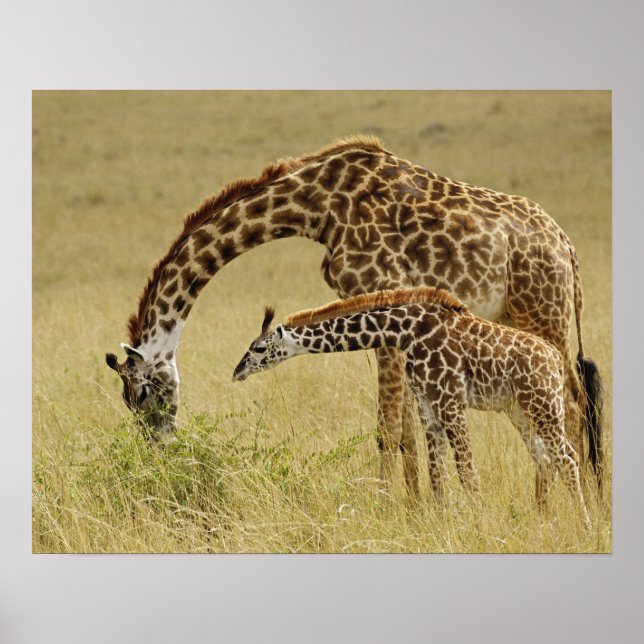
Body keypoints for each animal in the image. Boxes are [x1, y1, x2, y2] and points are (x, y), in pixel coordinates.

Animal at [105, 135, 603, 495]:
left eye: (144, 394)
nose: (159, 453)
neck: (315, 208)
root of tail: (567, 247)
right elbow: (406, 432)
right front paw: (418, 510)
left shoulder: (382, 296)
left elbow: (388, 429)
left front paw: (393, 510)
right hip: (521, 318)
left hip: (545, 313)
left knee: (574, 403)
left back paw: (578, 508)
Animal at [231, 287, 592, 531]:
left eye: (259, 348)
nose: (237, 372)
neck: (407, 332)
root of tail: (555, 360)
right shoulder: (427, 405)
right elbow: (437, 473)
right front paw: (446, 526)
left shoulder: (450, 400)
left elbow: (467, 471)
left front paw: (480, 527)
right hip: (519, 409)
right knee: (546, 459)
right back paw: (545, 521)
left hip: (543, 404)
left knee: (568, 457)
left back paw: (585, 527)